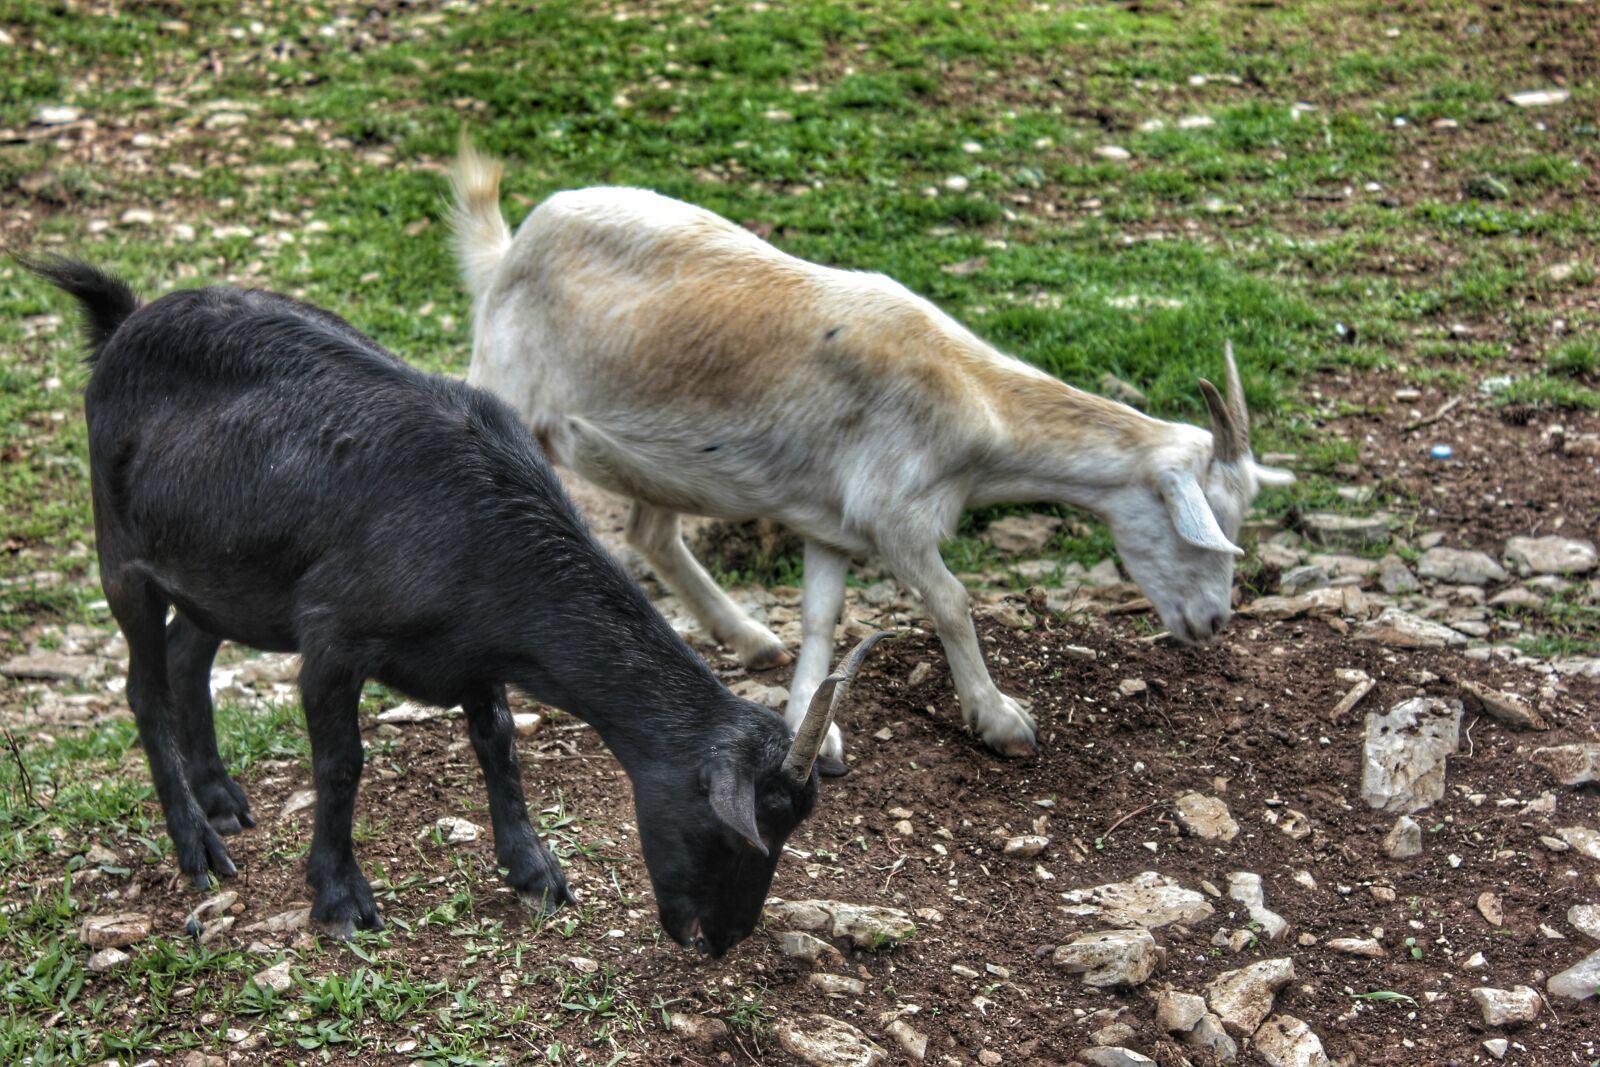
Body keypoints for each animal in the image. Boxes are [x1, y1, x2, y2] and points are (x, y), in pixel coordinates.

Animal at [25, 255, 883, 958]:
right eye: (740, 831)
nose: (721, 938)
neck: (480, 519)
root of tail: (125, 321)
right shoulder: (332, 637)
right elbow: (342, 762)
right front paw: (339, 894)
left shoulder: (475, 646)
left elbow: (498, 740)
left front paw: (534, 868)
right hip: (122, 555)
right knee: (142, 686)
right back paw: (197, 844)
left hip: (220, 577)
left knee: (185, 653)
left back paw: (223, 799)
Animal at [447, 144, 1293, 762]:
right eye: (1202, 524)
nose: (1213, 621)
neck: (970, 400)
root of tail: (507, 250)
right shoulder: (897, 516)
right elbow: (951, 600)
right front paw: (1001, 719)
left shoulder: (835, 522)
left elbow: (824, 615)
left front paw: (810, 729)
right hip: (507, 393)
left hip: (658, 460)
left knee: (648, 533)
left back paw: (747, 638)